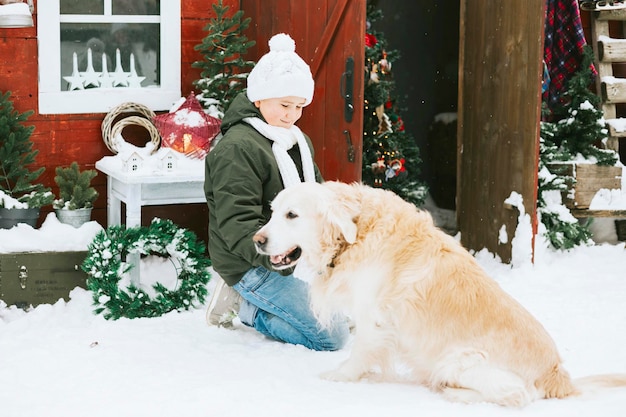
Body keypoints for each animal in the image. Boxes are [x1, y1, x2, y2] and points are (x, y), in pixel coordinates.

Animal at [252, 180, 624, 406]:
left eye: (292, 215)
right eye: (273, 211)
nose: (257, 240)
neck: (356, 235)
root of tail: (558, 375)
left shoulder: (375, 318)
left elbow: (359, 353)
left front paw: (339, 377)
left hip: (458, 360)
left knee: (516, 395)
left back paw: (454, 393)